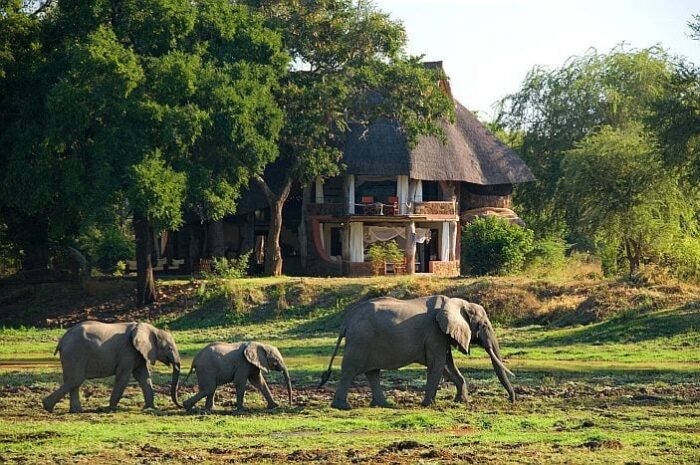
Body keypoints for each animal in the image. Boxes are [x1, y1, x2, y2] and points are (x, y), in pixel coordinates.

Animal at [41, 320, 180, 414]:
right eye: (169, 348)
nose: (179, 406)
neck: (151, 329)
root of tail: (62, 340)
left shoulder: (138, 353)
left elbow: (143, 377)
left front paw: (150, 408)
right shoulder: (127, 351)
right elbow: (124, 377)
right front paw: (111, 408)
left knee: (74, 381)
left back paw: (75, 411)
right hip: (75, 353)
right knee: (76, 379)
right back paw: (47, 406)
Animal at [322, 296, 516, 408]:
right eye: (484, 326)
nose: (512, 400)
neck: (457, 303)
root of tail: (346, 322)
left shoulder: (441, 334)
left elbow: (447, 364)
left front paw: (461, 402)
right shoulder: (435, 331)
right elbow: (438, 364)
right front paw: (428, 405)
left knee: (372, 372)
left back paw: (384, 405)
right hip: (360, 341)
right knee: (350, 370)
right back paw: (343, 407)